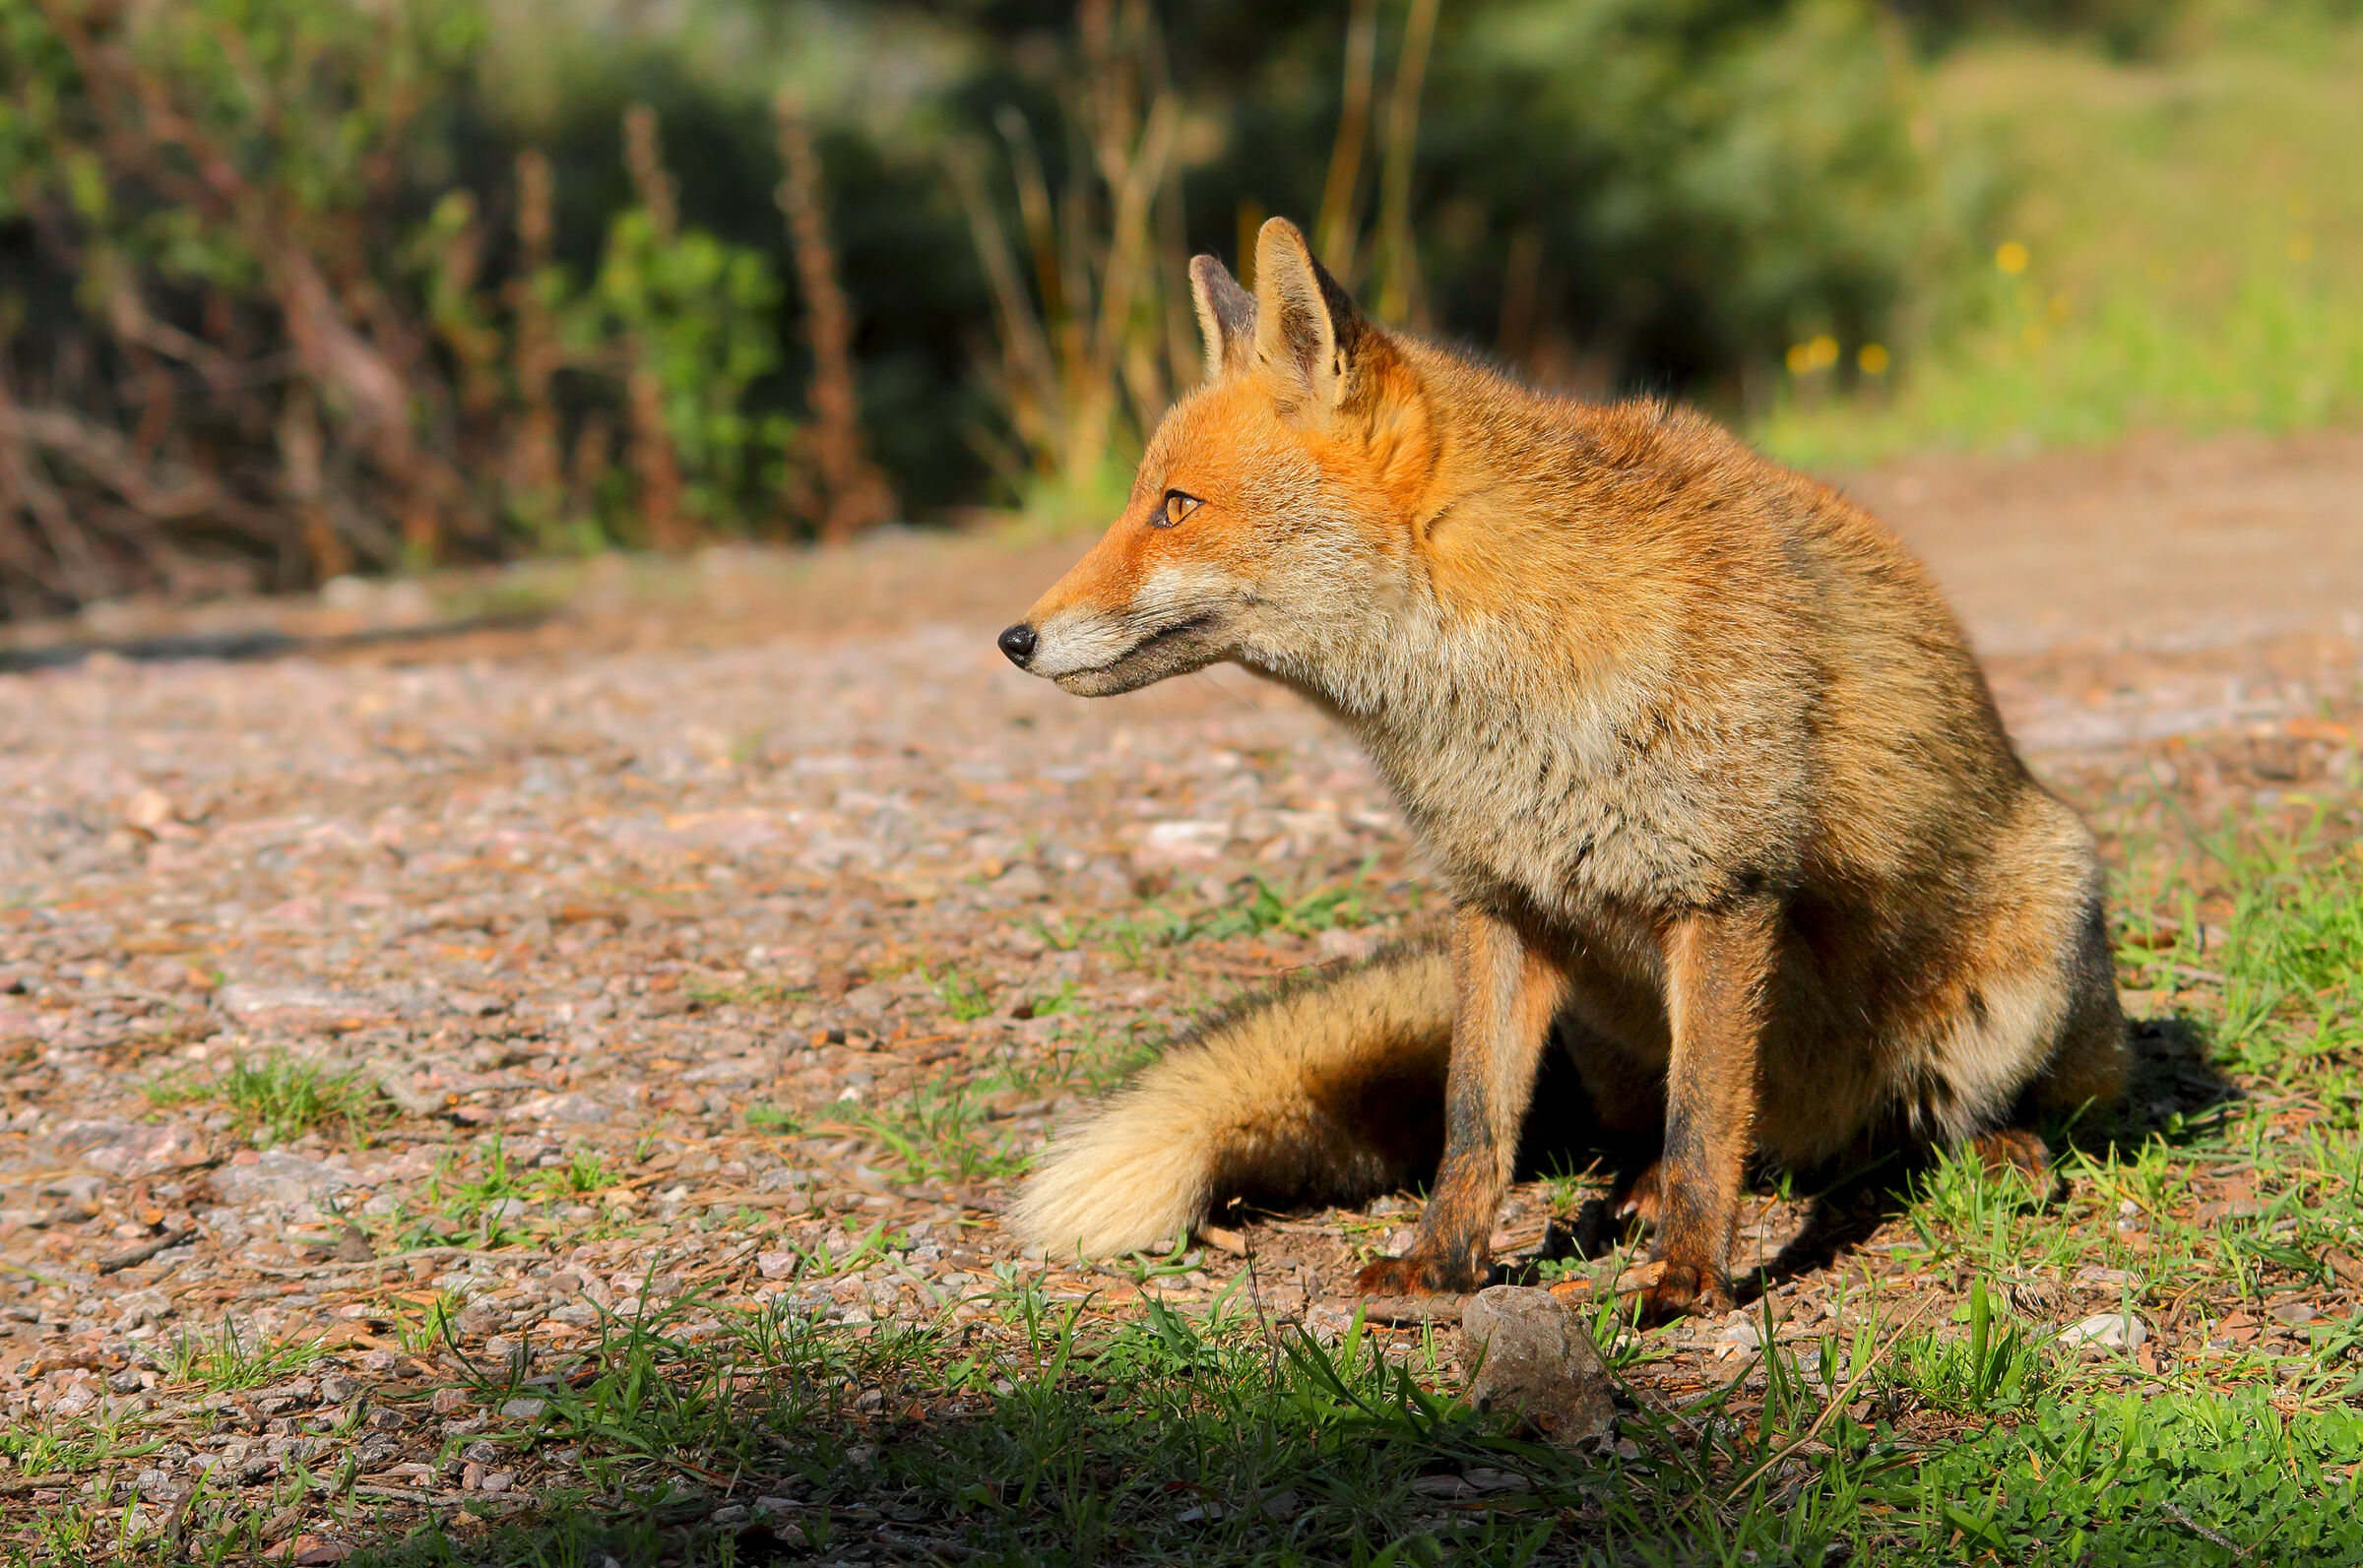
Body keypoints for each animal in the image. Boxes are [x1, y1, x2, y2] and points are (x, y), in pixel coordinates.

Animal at [994, 217, 2126, 1323]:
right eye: (1146, 500)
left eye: (1175, 507)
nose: (1013, 639)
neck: (1503, 711)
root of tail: (1824, 1137)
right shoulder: (1501, 901)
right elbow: (1474, 1125)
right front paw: (1444, 1267)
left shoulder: (1723, 892)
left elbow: (1705, 1118)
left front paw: (1691, 1279)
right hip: (1606, 1026)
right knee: (1674, 1139)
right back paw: (1642, 1192)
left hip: (2035, 953)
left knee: (1927, 1119)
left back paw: (1994, 1149)